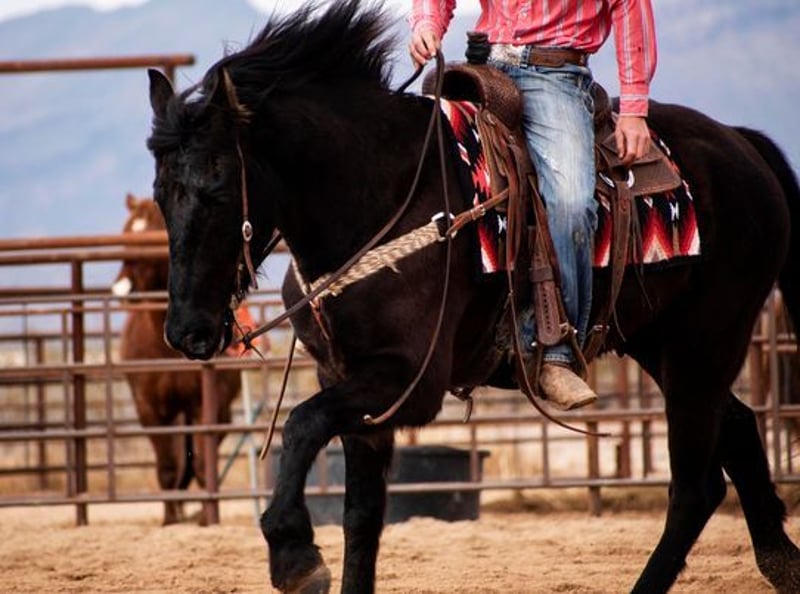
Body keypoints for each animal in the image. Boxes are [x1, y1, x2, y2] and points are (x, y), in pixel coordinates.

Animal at [112, 193, 243, 525]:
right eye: (125, 235)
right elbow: (168, 467)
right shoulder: (150, 410)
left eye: (150, 235)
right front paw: (170, 519)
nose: (122, 288)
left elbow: (201, 463)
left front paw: (206, 518)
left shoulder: (203, 406)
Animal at [144, 1, 800, 591]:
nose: (186, 332)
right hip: (665, 345)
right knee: (737, 434)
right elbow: (362, 518)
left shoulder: (408, 383)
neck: (383, 194)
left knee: (694, 485)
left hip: (705, 343)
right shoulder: (351, 383)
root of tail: (741, 144)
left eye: (217, 190)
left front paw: (293, 554)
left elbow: (302, 426)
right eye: (160, 193)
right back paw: (781, 561)